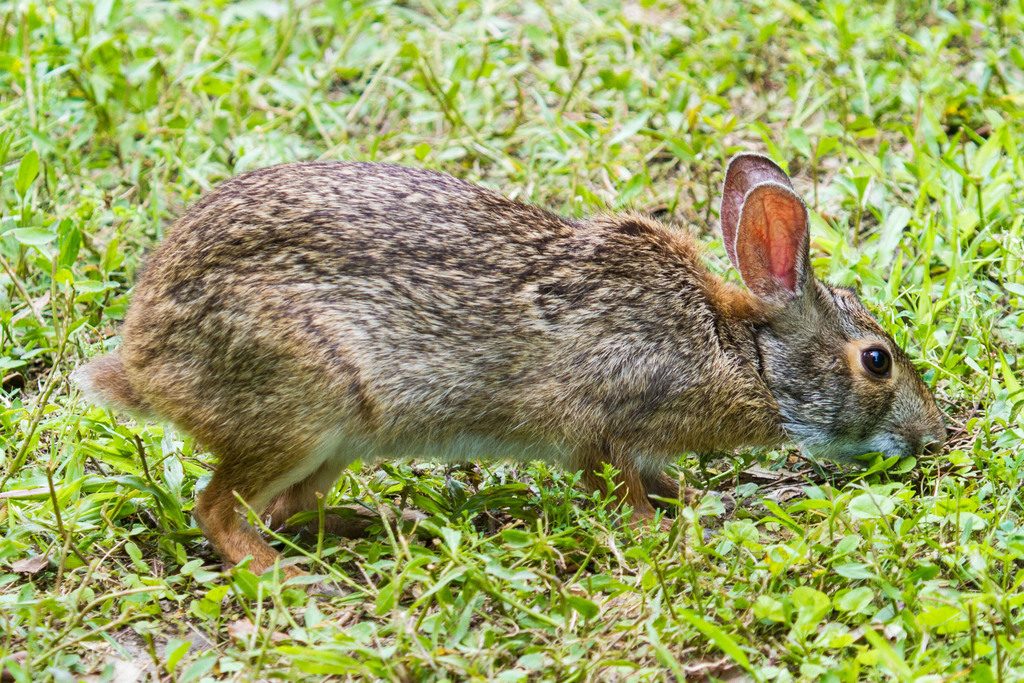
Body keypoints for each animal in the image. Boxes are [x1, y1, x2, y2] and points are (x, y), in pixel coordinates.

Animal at [74, 153, 946, 576]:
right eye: (876, 361)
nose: (933, 436)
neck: (742, 352)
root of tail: (146, 362)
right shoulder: (599, 422)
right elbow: (620, 489)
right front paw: (656, 534)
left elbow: (666, 479)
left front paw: (698, 506)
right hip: (302, 408)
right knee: (219, 509)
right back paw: (286, 578)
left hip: (338, 441)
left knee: (282, 507)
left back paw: (375, 527)